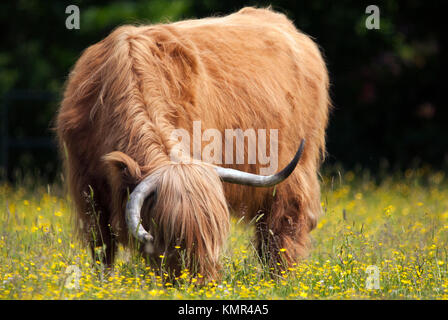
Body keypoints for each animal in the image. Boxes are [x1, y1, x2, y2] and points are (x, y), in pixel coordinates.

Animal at [55, 6, 328, 278]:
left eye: (214, 236)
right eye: (173, 239)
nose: (203, 281)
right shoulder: (87, 190)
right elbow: (102, 246)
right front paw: (104, 281)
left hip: (295, 170)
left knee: (283, 224)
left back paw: (280, 276)